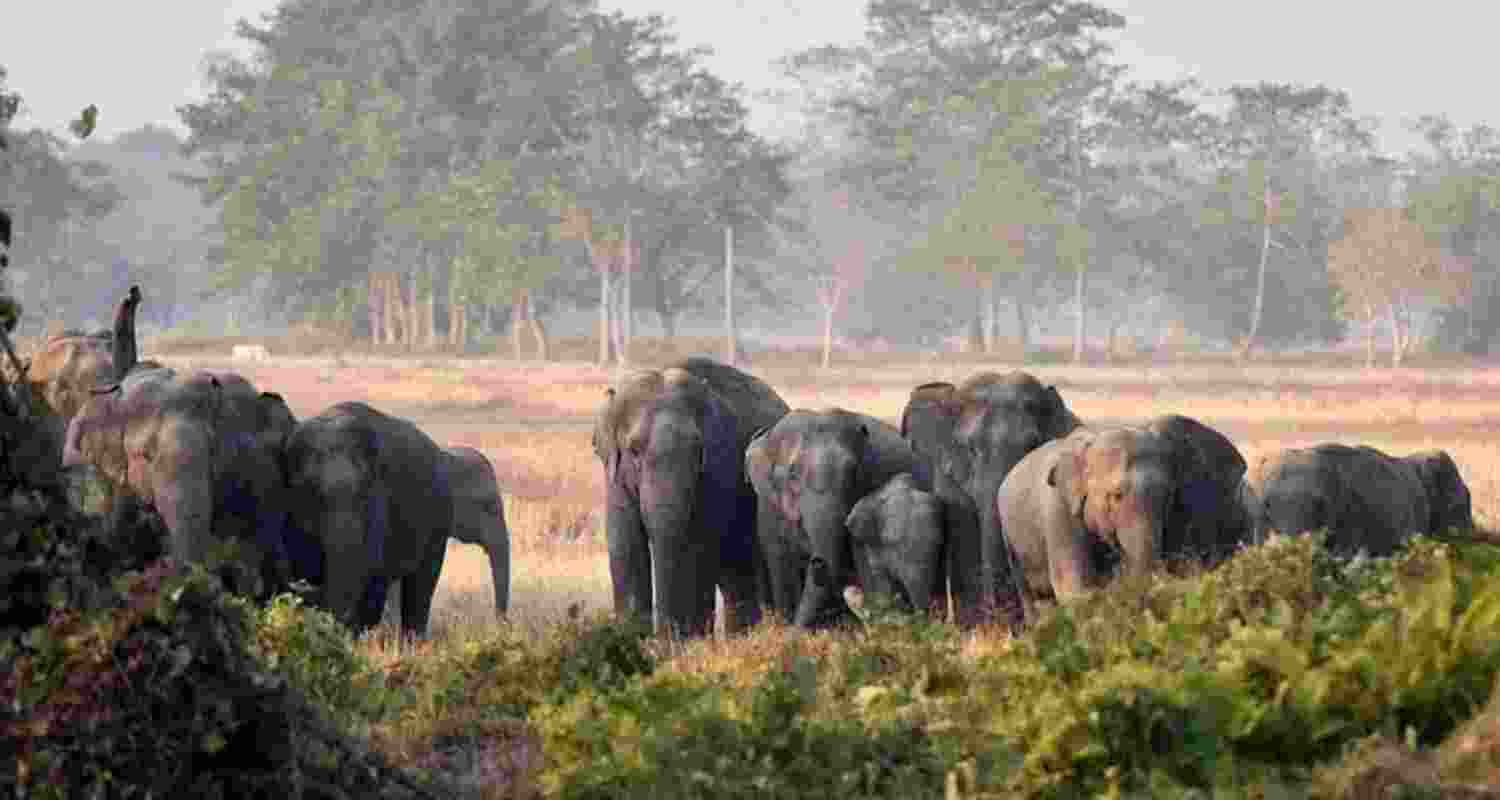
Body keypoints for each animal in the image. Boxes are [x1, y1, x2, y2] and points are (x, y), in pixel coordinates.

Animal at [593, 356, 789, 638]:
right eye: (634, 450)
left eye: (698, 451)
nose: (660, 639)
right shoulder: (615, 477)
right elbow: (625, 547)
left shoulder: (717, 471)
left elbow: (696, 550)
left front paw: (686, 644)